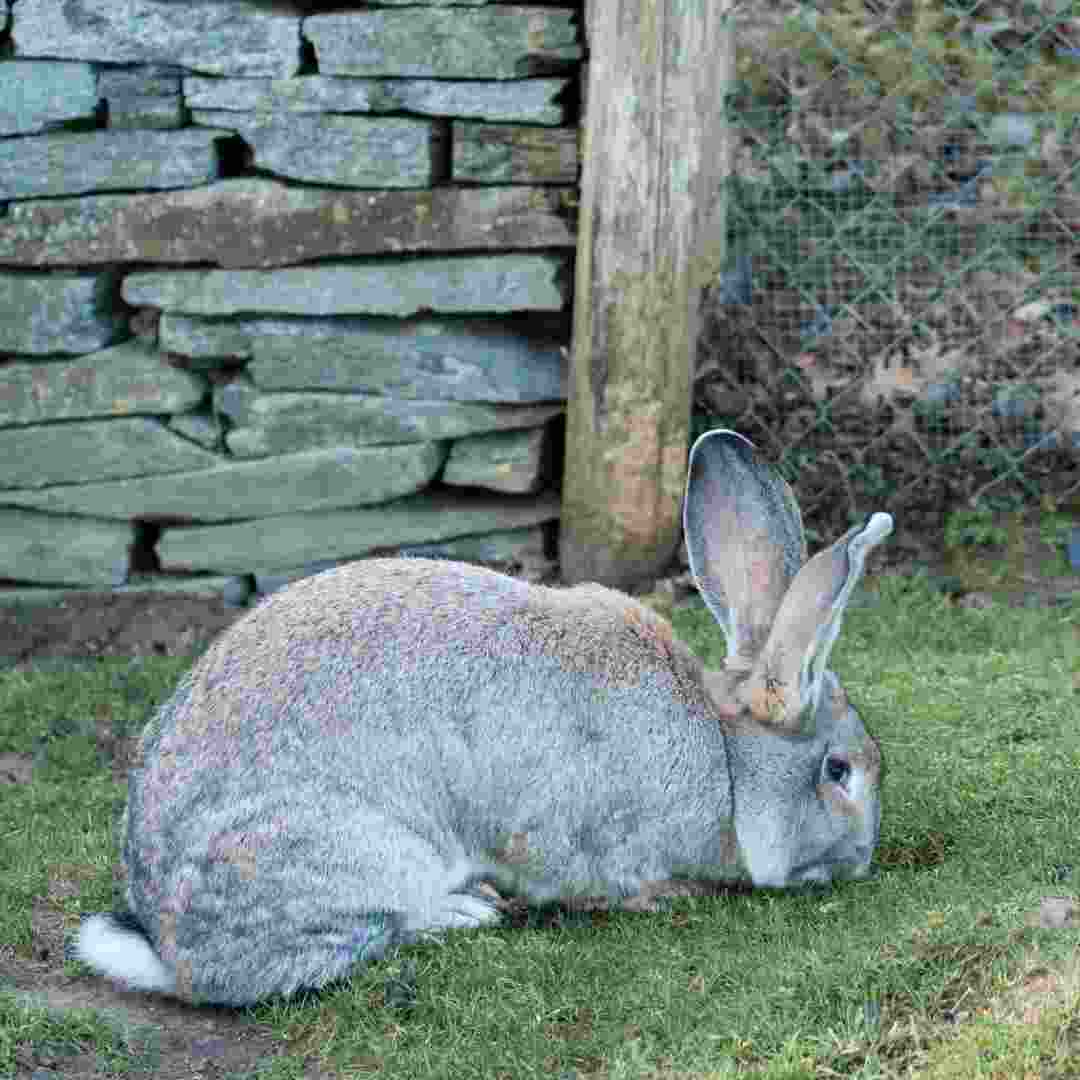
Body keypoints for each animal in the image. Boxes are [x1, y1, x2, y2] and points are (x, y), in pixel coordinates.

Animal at [73, 427, 885, 1002]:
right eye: (838, 771)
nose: (861, 863)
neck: (724, 757)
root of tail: (170, 947)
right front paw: (668, 895)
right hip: (355, 854)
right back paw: (465, 911)